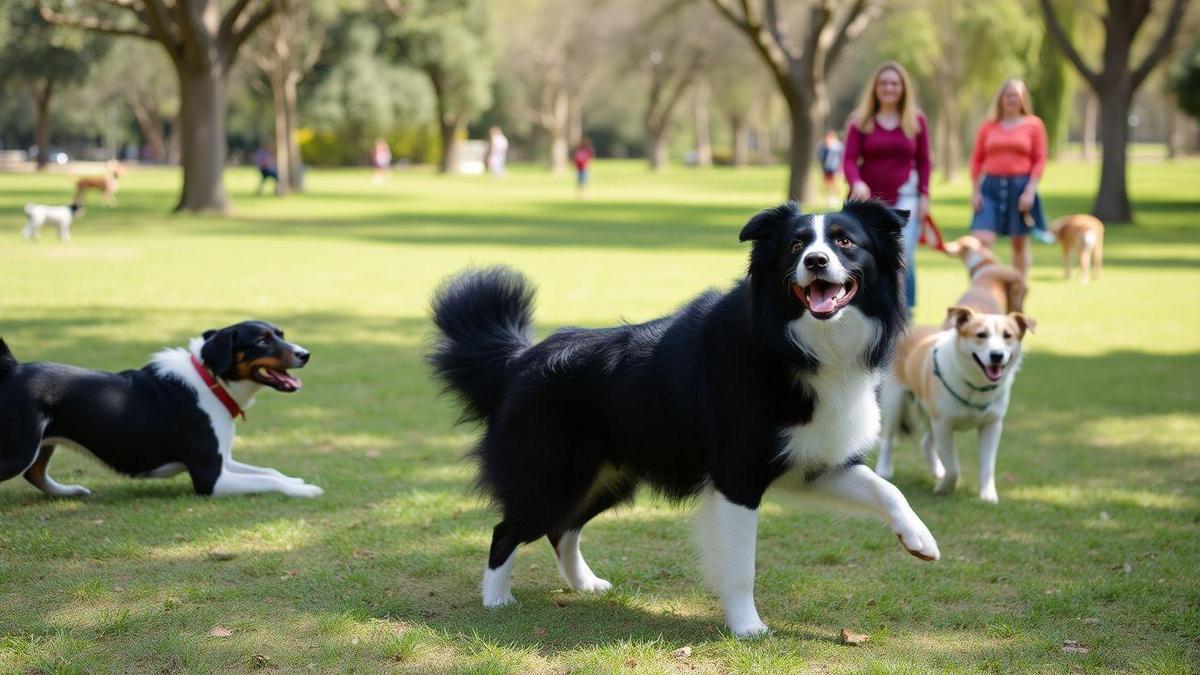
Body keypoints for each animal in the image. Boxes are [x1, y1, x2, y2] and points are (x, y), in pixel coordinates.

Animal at [878, 307, 1036, 502]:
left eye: (1008, 335)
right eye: (981, 335)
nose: (997, 356)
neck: (976, 386)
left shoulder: (992, 425)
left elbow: (988, 464)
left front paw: (988, 495)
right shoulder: (943, 424)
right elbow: (953, 467)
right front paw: (945, 487)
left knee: (926, 443)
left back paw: (938, 471)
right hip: (894, 400)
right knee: (888, 437)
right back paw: (884, 469)